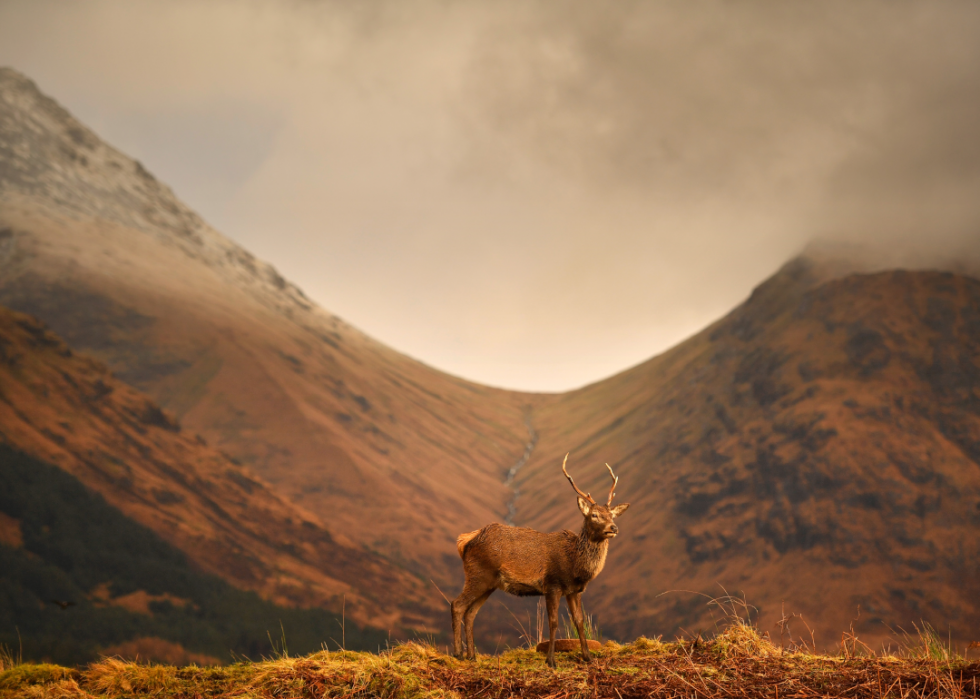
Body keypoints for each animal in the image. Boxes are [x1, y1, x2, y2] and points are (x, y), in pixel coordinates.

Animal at [450, 454, 628, 668]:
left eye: (612, 515)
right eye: (594, 515)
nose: (613, 528)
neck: (575, 565)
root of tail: (465, 540)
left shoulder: (574, 590)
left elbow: (579, 620)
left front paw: (588, 657)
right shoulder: (552, 585)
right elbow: (553, 621)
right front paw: (551, 660)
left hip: (489, 583)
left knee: (470, 612)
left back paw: (472, 656)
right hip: (478, 575)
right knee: (457, 605)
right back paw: (458, 653)